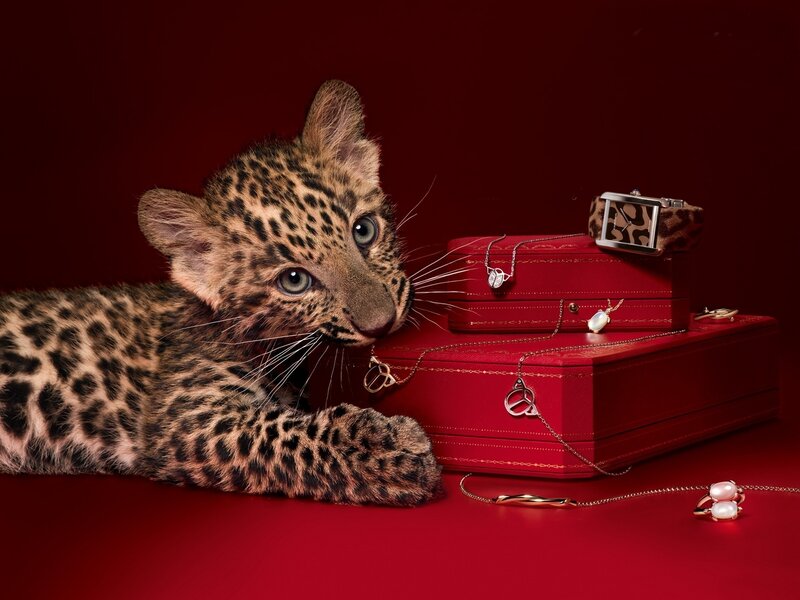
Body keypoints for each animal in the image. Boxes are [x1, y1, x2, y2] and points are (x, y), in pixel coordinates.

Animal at [0, 80, 442, 506]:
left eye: (363, 230)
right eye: (294, 281)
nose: (382, 324)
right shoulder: (185, 418)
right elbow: (282, 435)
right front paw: (391, 449)